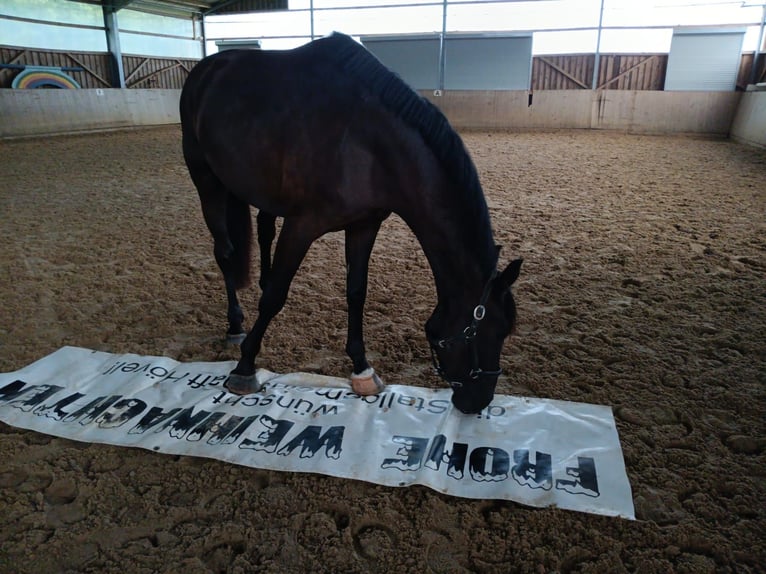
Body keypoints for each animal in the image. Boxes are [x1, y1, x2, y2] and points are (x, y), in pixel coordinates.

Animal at [183, 32, 524, 414]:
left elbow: (356, 292)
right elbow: (274, 297)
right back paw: (235, 324)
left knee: (263, 228)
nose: (478, 401)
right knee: (225, 252)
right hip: (206, 179)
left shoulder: (364, 225)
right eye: (488, 332)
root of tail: (208, 67)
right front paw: (244, 367)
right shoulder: (301, 226)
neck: (363, 139)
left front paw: (361, 368)